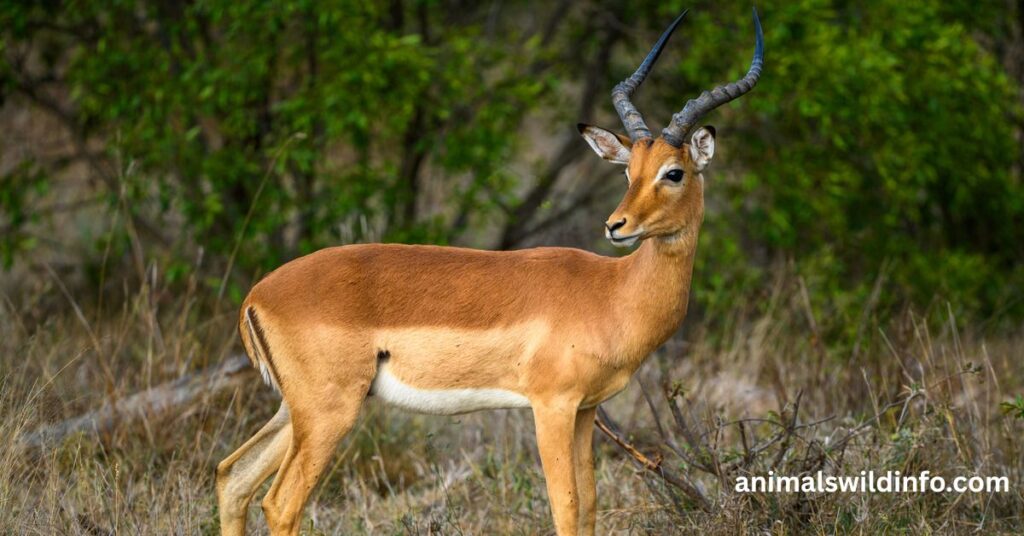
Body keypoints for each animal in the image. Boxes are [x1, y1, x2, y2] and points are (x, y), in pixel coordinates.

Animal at [216, 7, 763, 535]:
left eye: (673, 172)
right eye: (629, 172)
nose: (616, 226)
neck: (612, 292)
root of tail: (255, 296)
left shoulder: (585, 410)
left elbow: (589, 507)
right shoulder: (552, 406)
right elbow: (566, 508)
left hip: (296, 411)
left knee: (232, 476)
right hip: (329, 411)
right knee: (280, 504)